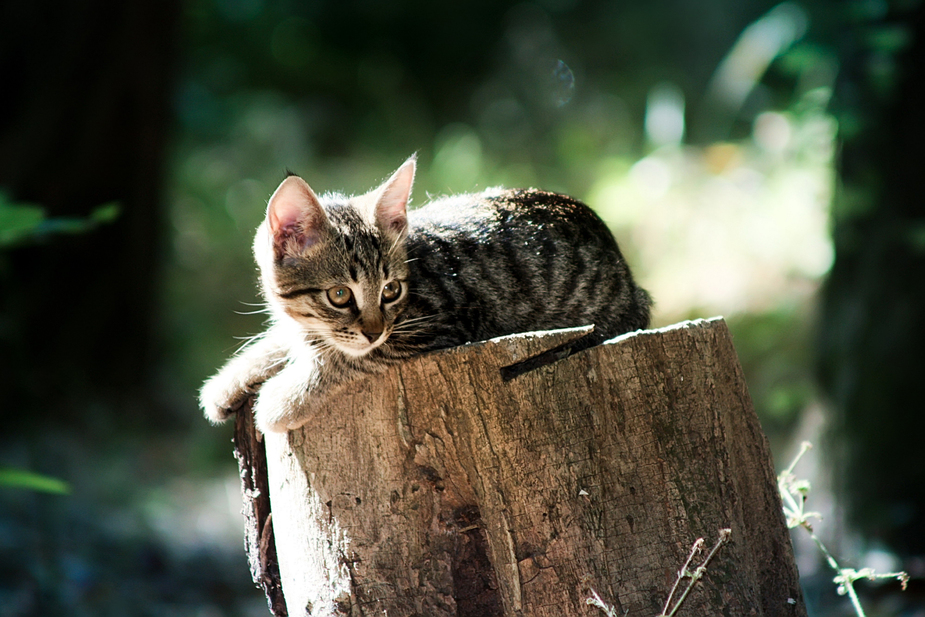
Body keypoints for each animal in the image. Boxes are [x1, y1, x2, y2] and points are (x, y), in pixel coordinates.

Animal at [200, 156, 648, 430]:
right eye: (340, 295)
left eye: (391, 290)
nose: (373, 330)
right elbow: (285, 339)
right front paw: (229, 381)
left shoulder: (435, 326)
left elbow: (350, 359)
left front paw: (281, 400)